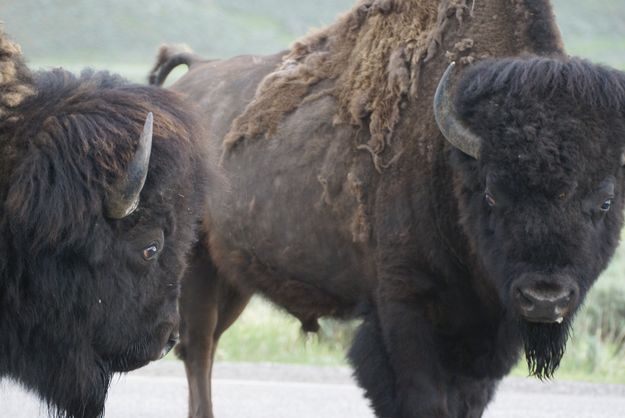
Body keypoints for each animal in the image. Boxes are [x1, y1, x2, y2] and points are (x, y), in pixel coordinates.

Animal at [150, 0, 624, 416]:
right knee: (199, 348)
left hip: (232, 278)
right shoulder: (403, 307)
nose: (545, 298)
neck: (448, 157)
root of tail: (193, 74)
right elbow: (422, 400)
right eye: (492, 194)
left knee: (205, 345)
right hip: (194, 266)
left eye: (605, 200)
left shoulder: (487, 331)